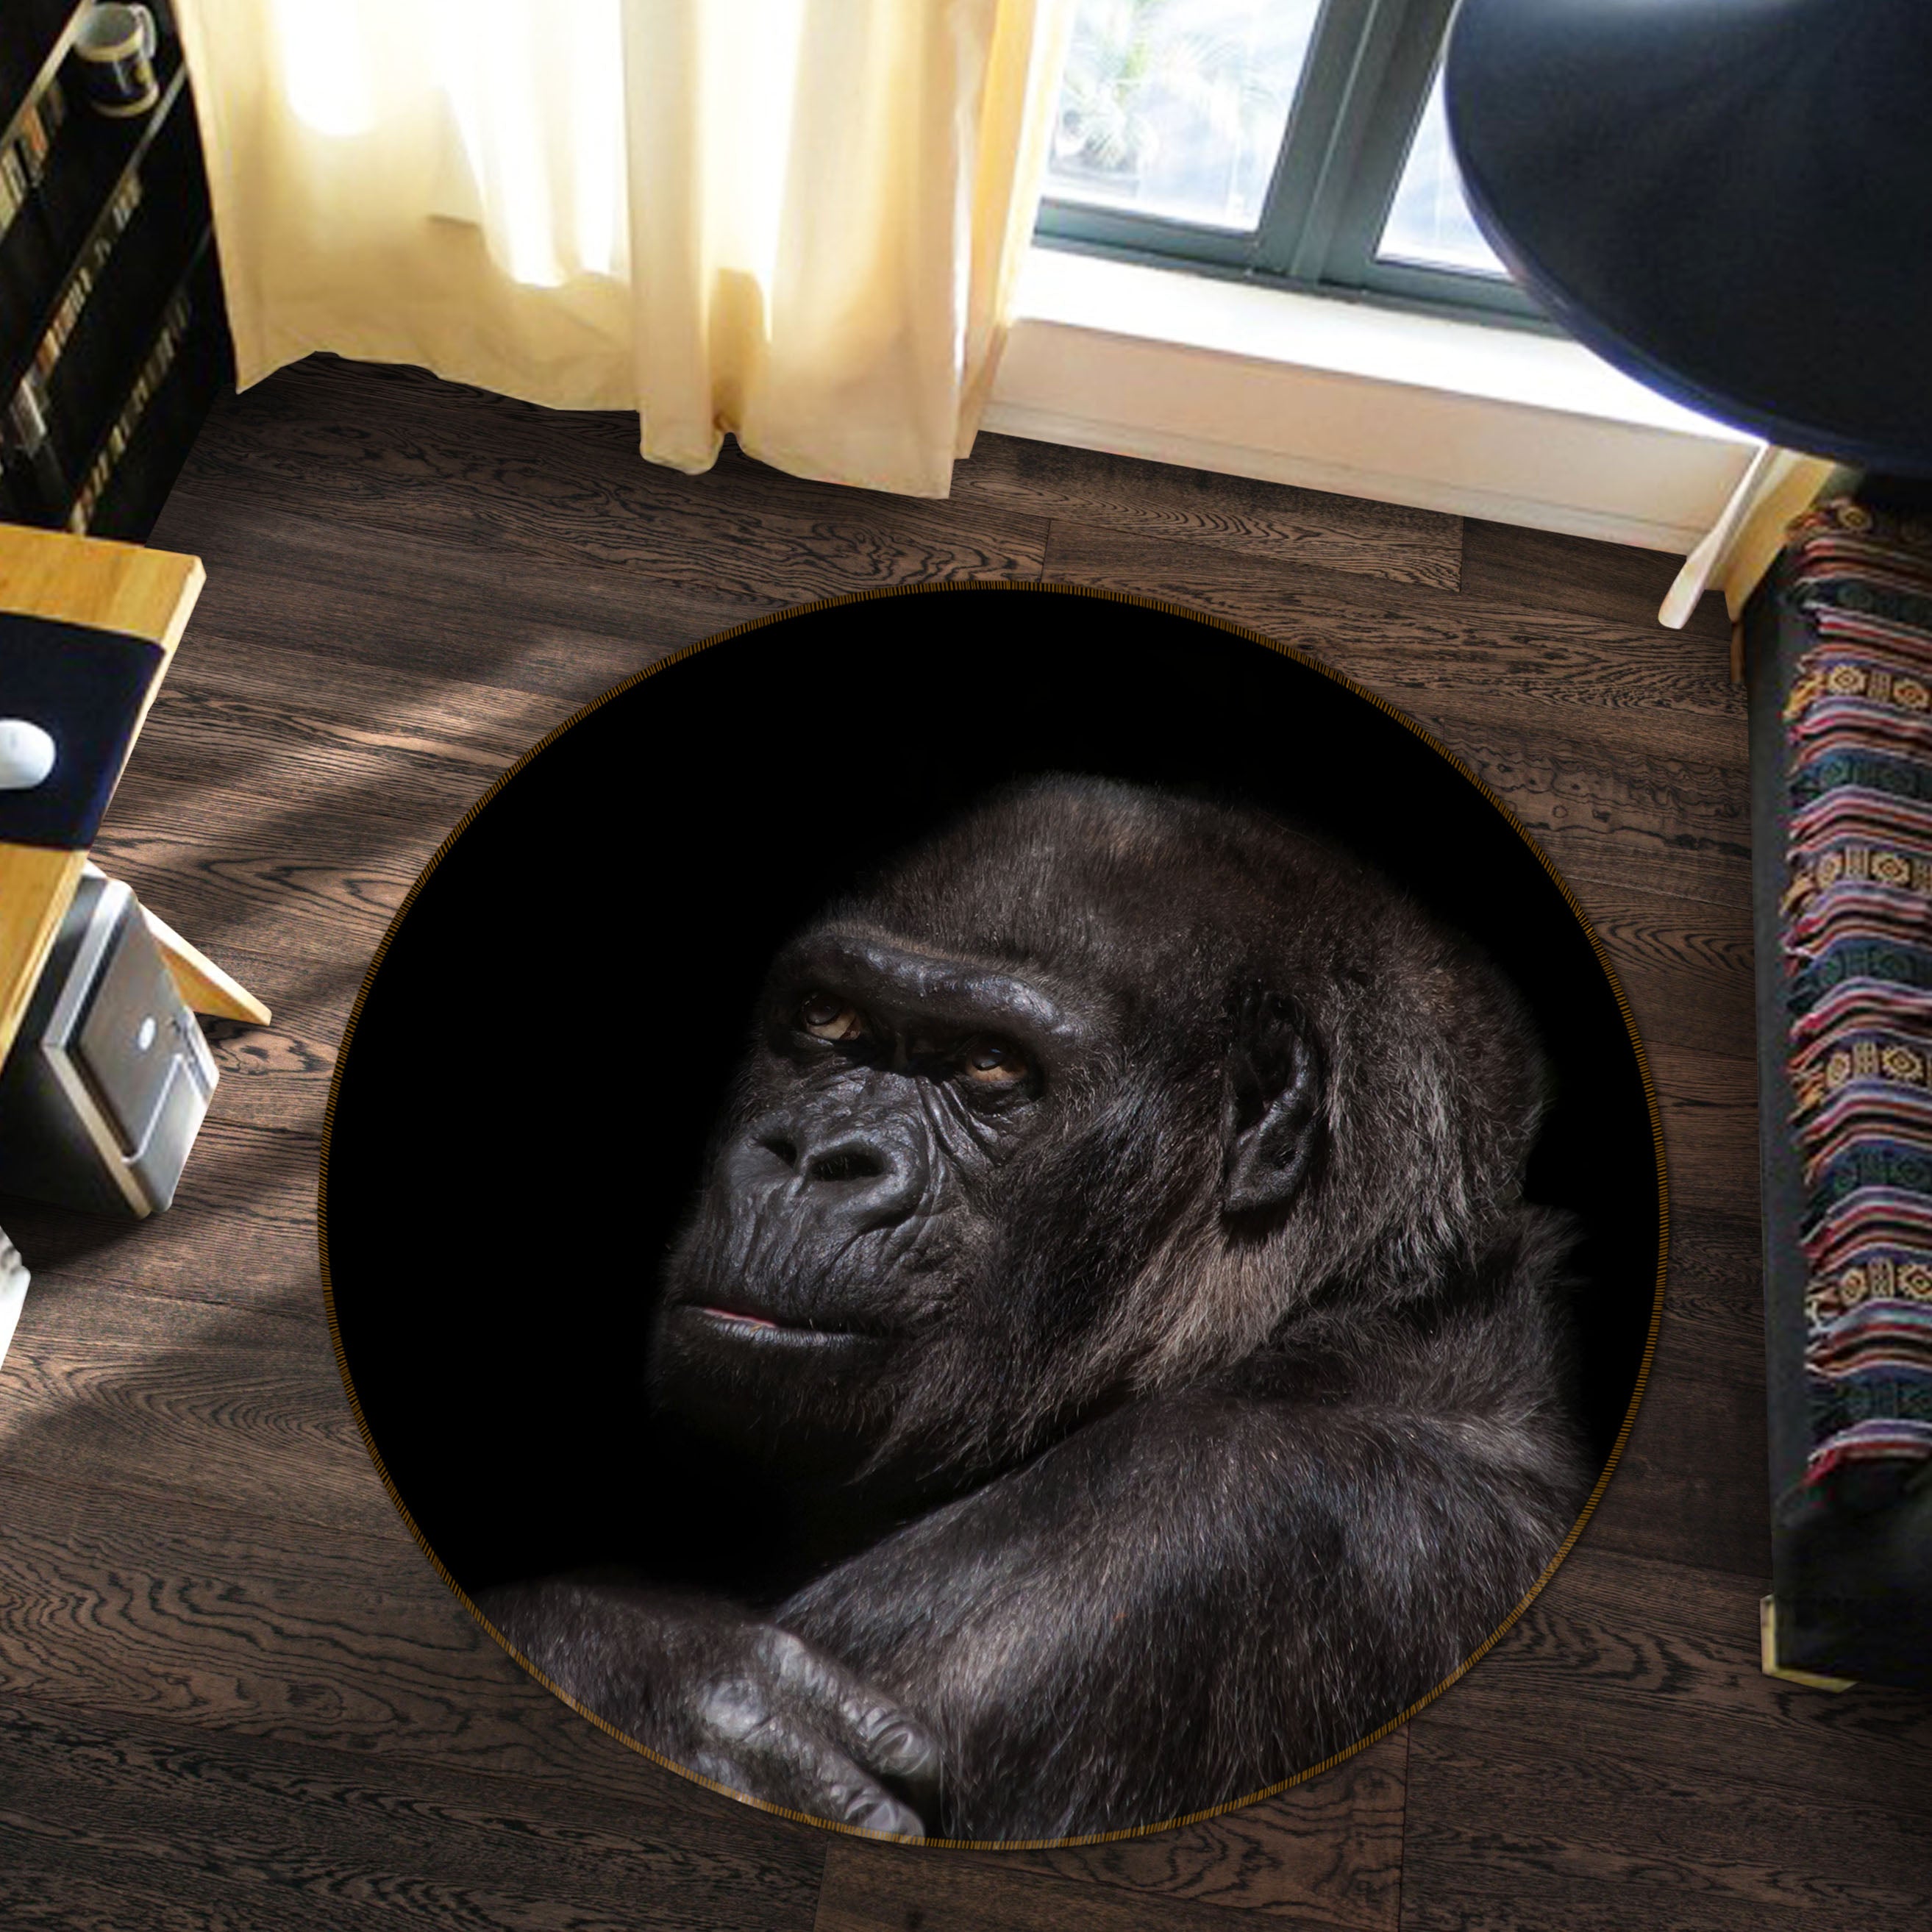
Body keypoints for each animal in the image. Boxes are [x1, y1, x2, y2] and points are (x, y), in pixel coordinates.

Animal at [479, 776, 1590, 1841]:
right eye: (827, 1019)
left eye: (990, 1066)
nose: (816, 1156)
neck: (1315, 1307)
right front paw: (673, 1683)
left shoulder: (1164, 1542)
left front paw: (654, 1681)